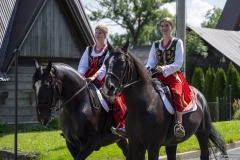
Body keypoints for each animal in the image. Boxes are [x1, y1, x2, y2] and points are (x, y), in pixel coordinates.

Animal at [101, 39, 229, 159]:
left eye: (122, 61)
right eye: (106, 62)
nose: (108, 88)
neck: (143, 105)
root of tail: (201, 96)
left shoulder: (153, 146)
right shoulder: (136, 145)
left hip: (203, 134)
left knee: (204, 154)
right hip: (172, 142)